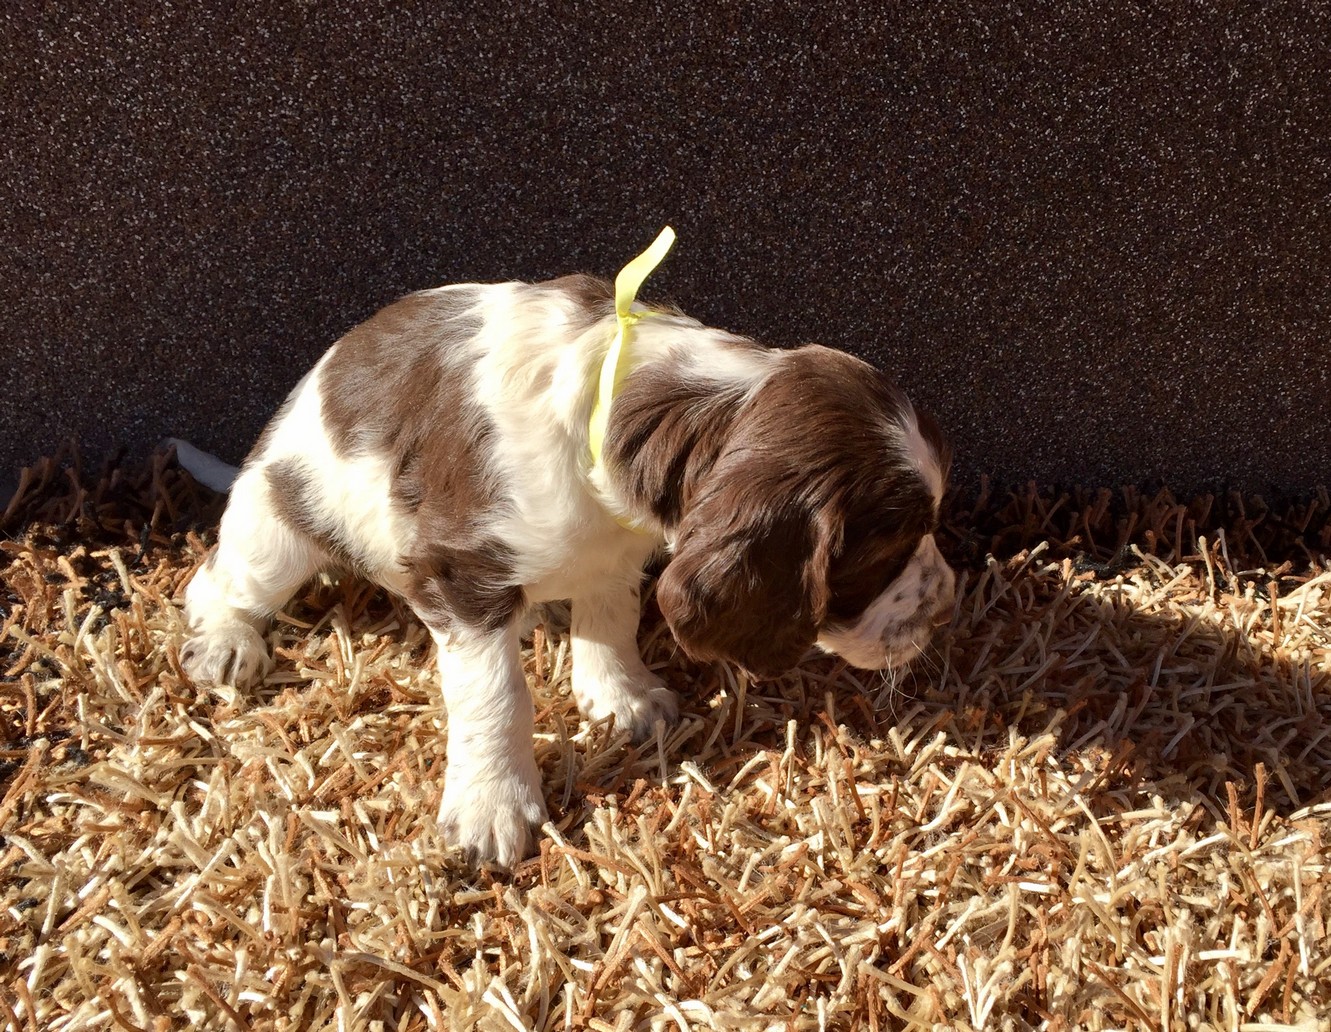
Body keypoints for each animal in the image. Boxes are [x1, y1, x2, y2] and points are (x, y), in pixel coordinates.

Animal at [181, 272, 957, 868]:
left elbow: (610, 620)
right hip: (279, 519)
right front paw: (493, 806)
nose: (945, 606)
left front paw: (622, 698)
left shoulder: (611, 552)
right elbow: (496, 696)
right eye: (886, 551)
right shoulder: (462, 571)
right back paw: (224, 642)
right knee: (222, 579)